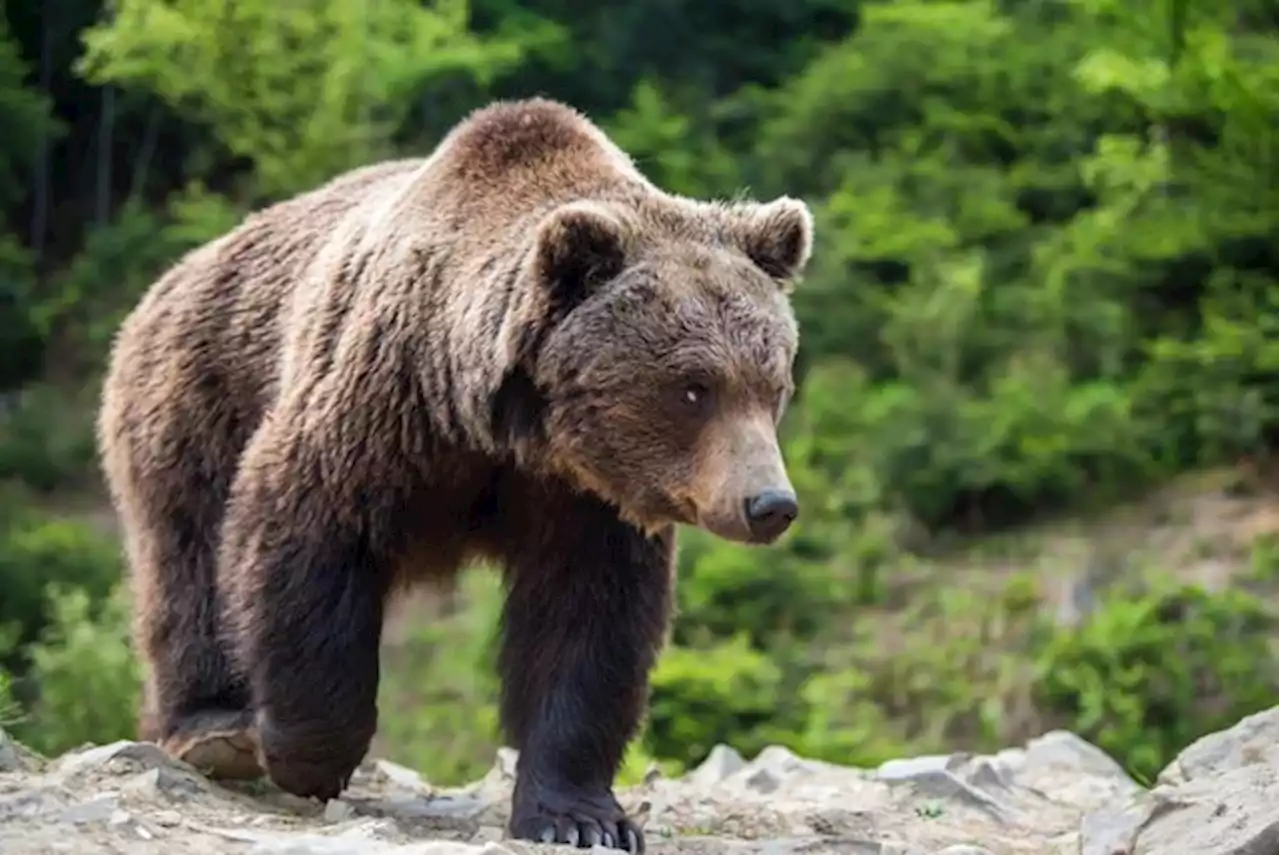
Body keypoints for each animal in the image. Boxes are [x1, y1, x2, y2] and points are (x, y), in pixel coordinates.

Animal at [97, 96, 808, 849]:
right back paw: (211, 729)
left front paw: (581, 817)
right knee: (188, 564)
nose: (769, 503)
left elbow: (588, 624)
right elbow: (302, 538)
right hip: (195, 397)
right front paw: (304, 754)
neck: (500, 427)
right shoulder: (377, 413)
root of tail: (174, 275)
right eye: (693, 387)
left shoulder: (583, 498)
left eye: (773, 383)